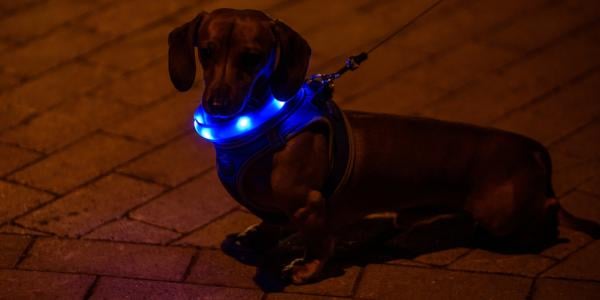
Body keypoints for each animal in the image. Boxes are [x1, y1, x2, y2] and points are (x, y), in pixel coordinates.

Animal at [169, 7, 600, 284]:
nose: (217, 104)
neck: (264, 121)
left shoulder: (310, 204)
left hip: (501, 213)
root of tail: (529, 149)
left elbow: (318, 242)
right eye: (206, 50)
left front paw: (307, 268)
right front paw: (256, 237)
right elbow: (271, 223)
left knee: (547, 212)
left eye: (253, 57)